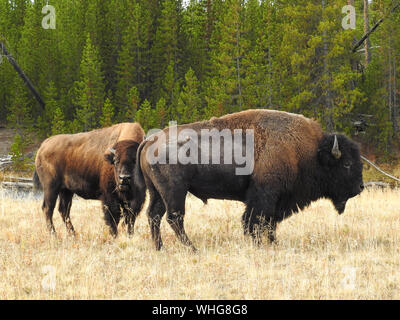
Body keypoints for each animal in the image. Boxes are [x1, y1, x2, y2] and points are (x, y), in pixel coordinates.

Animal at [133, 109, 364, 250]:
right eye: (347, 164)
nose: (360, 187)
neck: (309, 152)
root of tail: (150, 140)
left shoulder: (277, 201)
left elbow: (270, 223)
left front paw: (273, 244)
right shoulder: (264, 196)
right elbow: (255, 221)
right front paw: (259, 244)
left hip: (157, 192)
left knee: (154, 215)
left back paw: (160, 248)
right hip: (175, 192)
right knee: (174, 218)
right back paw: (192, 249)